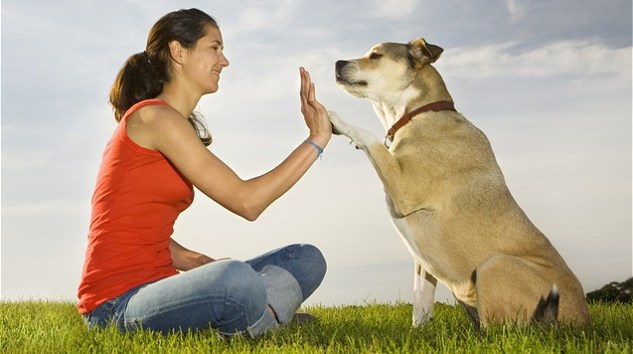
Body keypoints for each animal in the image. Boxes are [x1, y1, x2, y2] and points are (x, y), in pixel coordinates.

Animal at [328, 37, 592, 328]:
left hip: (494, 264)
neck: (420, 113)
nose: (337, 63)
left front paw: (333, 117)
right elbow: (421, 301)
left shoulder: (404, 187)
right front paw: (418, 332)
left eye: (376, 55)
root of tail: (582, 321)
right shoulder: (422, 262)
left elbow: (369, 137)